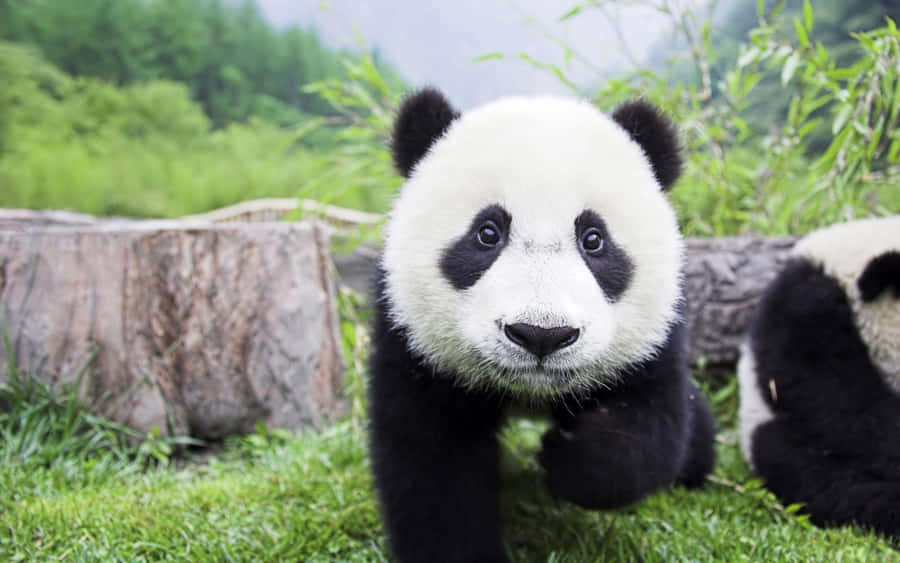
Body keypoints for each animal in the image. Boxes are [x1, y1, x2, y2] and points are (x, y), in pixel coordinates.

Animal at [369, 88, 716, 563]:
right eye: (487, 233)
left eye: (594, 239)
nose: (541, 335)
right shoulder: (412, 341)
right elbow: (432, 463)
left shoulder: (655, 339)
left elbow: (649, 426)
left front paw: (568, 457)